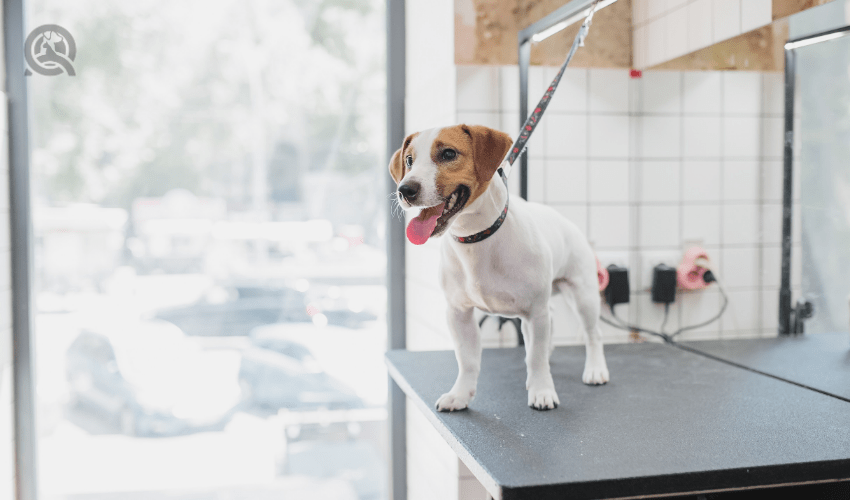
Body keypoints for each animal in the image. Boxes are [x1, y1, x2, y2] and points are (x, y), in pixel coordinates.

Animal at [388, 124, 608, 410]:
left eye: (448, 154)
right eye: (409, 161)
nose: (405, 190)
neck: (477, 238)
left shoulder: (534, 312)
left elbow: (536, 360)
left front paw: (542, 391)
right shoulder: (458, 313)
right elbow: (467, 360)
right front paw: (460, 394)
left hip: (583, 295)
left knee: (593, 334)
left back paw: (595, 370)